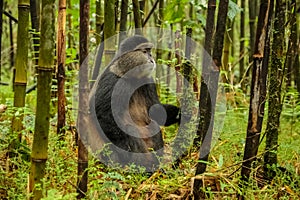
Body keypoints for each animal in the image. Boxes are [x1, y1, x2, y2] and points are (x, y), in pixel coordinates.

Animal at [91, 35, 180, 170]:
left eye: (150, 51)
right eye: (145, 51)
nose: (152, 58)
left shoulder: (148, 80)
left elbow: (155, 111)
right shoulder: (112, 81)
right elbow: (103, 116)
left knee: (153, 125)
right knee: (129, 129)